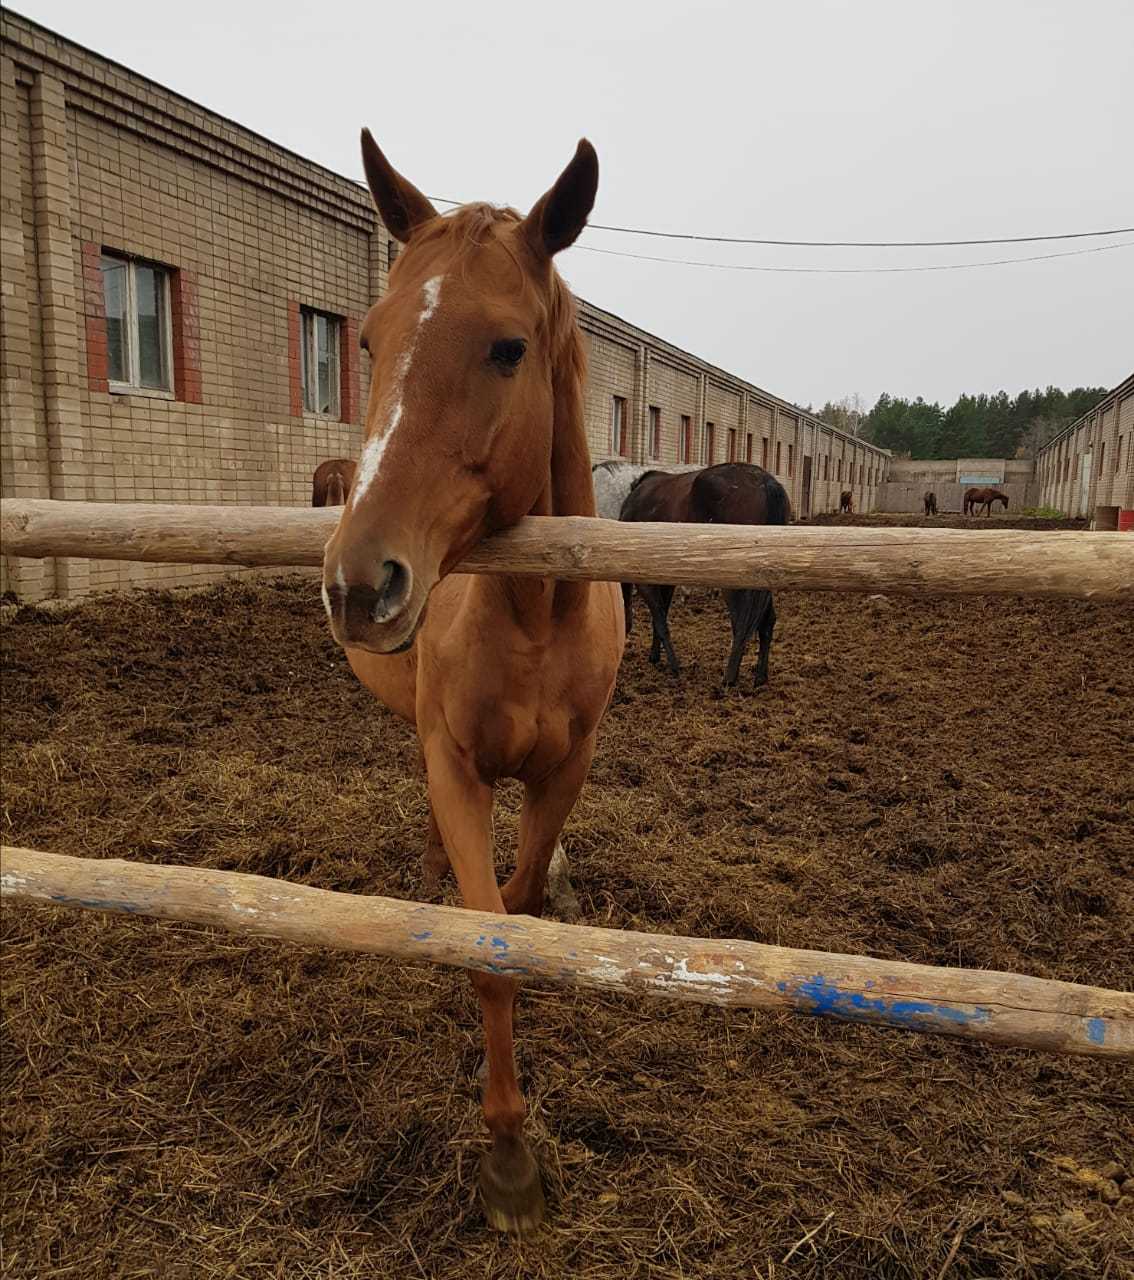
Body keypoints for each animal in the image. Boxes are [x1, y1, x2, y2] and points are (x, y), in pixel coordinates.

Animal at [319, 127, 627, 1228]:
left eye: (507, 347)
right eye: (368, 342)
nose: (360, 582)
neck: (535, 612)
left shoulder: (563, 770)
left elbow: (521, 910)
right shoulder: (456, 763)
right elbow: (489, 943)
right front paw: (507, 1156)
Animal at [616, 465, 793, 691]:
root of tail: (765, 482)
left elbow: (654, 618)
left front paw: (672, 665)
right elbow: (660, 617)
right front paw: (656, 657)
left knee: (741, 624)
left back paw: (730, 677)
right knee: (766, 622)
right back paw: (760, 678)